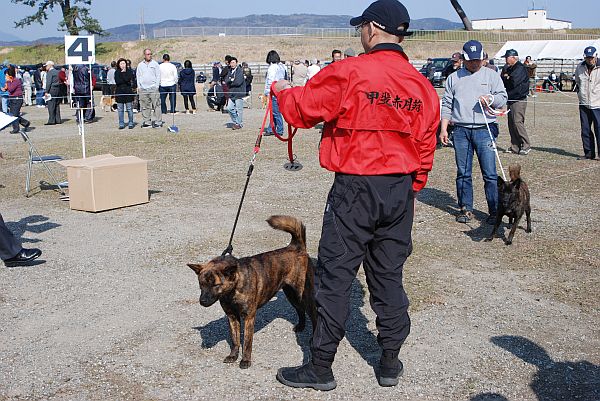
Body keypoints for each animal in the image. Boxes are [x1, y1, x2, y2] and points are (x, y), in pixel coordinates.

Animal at [188, 216, 318, 368]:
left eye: (216, 285)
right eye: (201, 284)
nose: (202, 301)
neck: (232, 292)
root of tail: (296, 247)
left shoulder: (249, 317)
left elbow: (247, 342)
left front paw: (245, 360)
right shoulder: (232, 317)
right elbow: (235, 340)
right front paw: (233, 356)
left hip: (304, 295)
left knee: (314, 316)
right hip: (291, 294)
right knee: (300, 310)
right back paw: (301, 326)